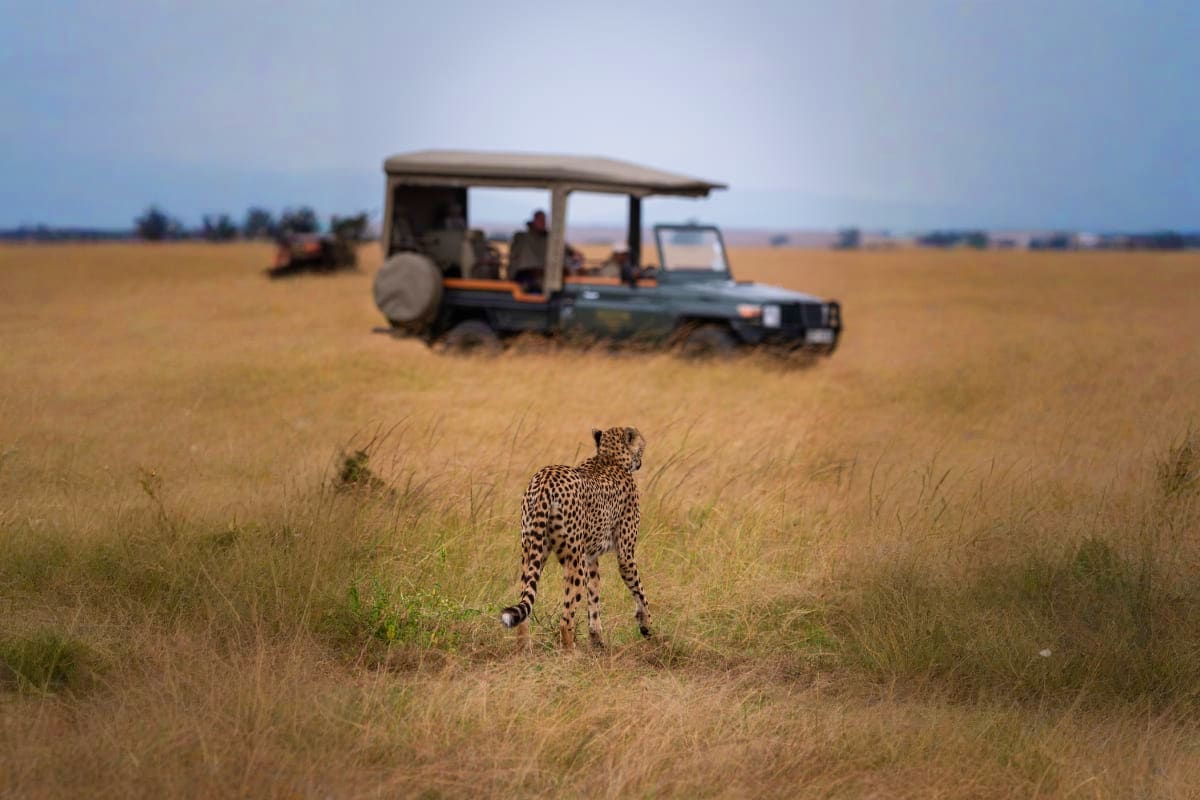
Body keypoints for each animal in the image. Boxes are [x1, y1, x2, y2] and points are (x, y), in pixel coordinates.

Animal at [499, 426, 651, 650]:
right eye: (641, 446)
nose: (641, 461)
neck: (610, 459)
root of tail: (546, 478)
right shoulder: (625, 555)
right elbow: (640, 591)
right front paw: (647, 626)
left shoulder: (590, 557)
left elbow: (594, 598)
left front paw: (597, 641)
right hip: (574, 561)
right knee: (565, 620)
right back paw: (570, 653)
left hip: (531, 553)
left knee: (526, 608)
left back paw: (523, 650)